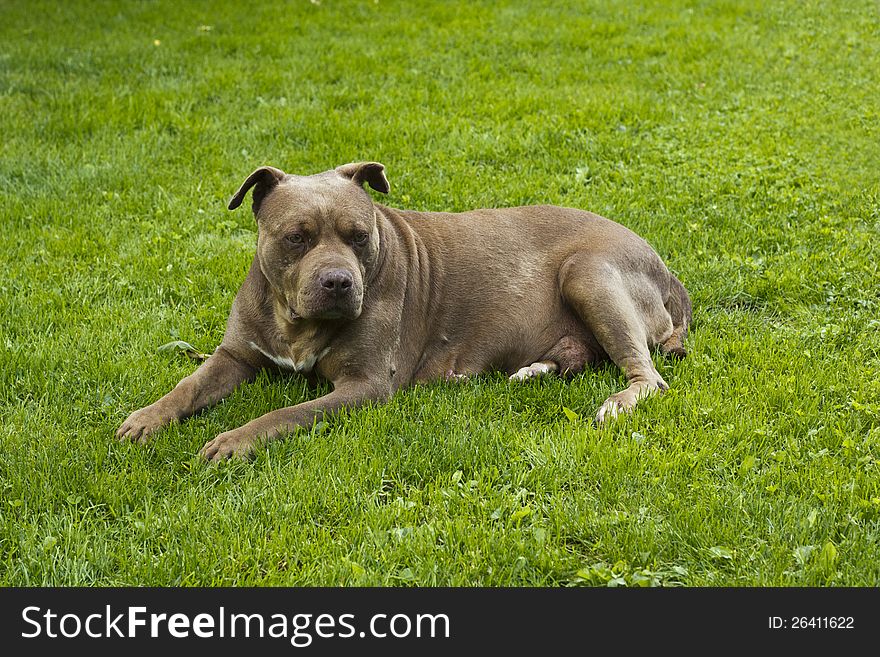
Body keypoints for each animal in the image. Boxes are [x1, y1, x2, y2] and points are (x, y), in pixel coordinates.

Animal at [117, 163, 692, 462]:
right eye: (297, 237)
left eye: (358, 236)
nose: (338, 282)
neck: (294, 321)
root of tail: (669, 273)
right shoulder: (235, 355)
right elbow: (187, 386)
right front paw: (145, 419)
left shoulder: (364, 386)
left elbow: (286, 413)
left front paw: (234, 440)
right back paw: (533, 370)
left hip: (588, 273)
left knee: (648, 376)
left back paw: (616, 402)